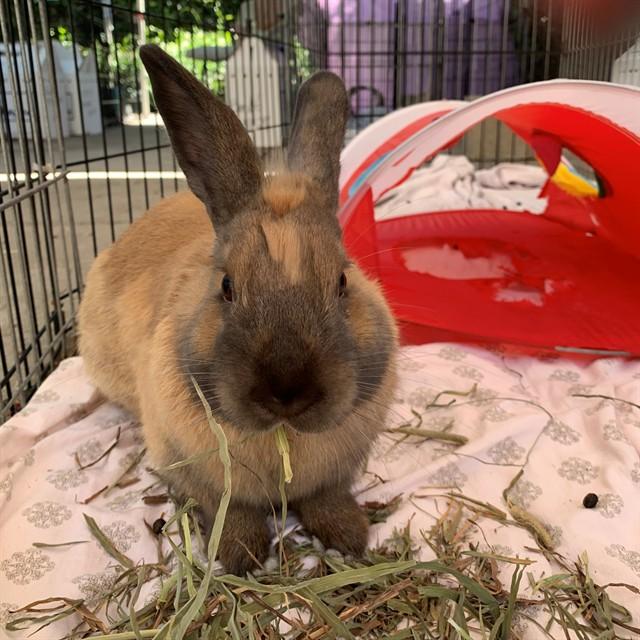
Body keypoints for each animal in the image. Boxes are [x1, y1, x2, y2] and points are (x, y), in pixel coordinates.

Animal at [77, 44, 398, 575]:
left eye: (342, 281)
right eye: (226, 286)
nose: (287, 391)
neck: (283, 434)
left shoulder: (334, 475)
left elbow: (326, 498)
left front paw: (350, 536)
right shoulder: (196, 473)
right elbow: (232, 511)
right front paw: (240, 555)